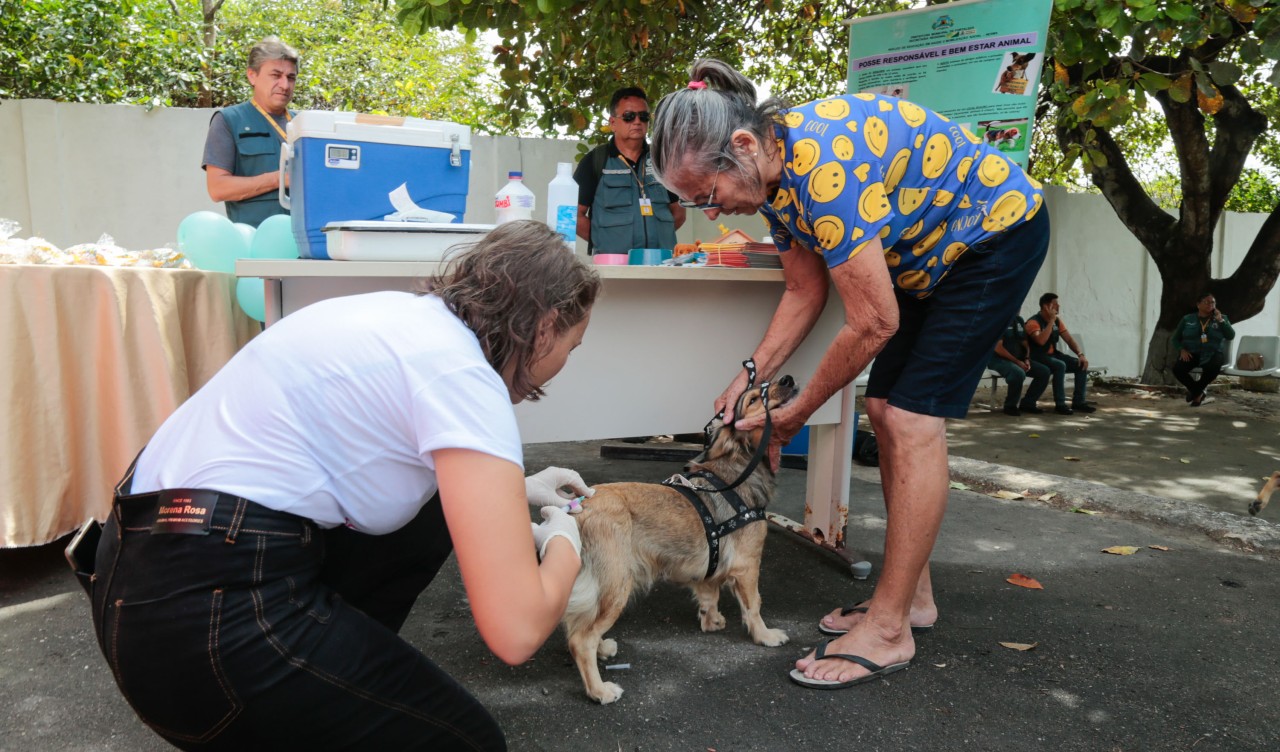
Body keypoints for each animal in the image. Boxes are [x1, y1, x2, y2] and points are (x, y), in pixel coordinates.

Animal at [558, 378, 793, 700]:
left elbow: (709, 593)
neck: (737, 467)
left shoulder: (711, 564)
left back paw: (603, 648)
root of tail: (578, 507)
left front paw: (711, 620)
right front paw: (765, 635)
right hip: (617, 583)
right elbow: (754, 604)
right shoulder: (747, 565)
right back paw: (599, 690)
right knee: (581, 640)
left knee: (578, 626)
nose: (788, 380)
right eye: (755, 398)